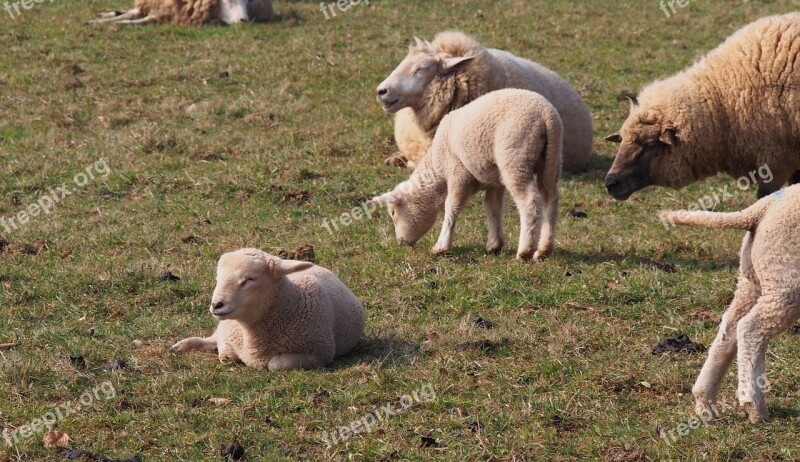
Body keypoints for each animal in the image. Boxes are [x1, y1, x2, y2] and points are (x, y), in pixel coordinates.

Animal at [172, 249, 368, 372]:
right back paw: (180, 347)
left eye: (250, 279)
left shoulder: (320, 354)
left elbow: (275, 364)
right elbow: (226, 355)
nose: (216, 305)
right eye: (218, 278)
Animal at [372, 89, 560, 262]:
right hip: (551, 160)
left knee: (529, 201)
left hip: (515, 158)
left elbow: (452, 207)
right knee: (550, 200)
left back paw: (525, 250)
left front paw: (441, 246)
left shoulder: (458, 173)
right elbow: (492, 207)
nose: (401, 242)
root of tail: (545, 113)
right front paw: (494, 244)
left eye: (393, 213)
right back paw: (544, 249)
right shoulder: (494, 182)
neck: (437, 169)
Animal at [660, 184, 800, 422]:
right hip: (785, 279)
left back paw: (704, 400)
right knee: (751, 328)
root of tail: (762, 209)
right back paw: (754, 406)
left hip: (752, 280)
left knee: (729, 330)